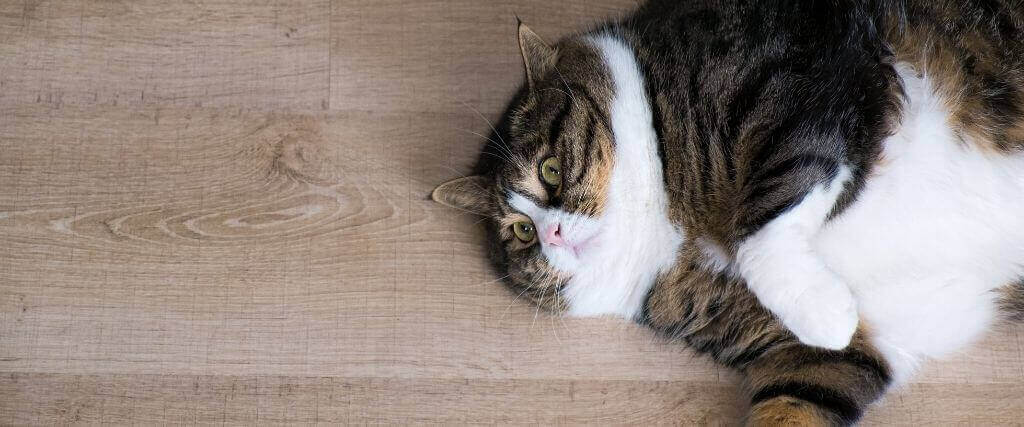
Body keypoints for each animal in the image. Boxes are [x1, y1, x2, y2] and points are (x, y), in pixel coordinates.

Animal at [430, 0, 1024, 421]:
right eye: (520, 232)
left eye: (550, 170)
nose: (551, 232)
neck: (666, 221)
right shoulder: (826, 356)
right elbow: (800, 396)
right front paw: (836, 316)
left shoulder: (804, 80)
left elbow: (763, 229)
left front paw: (825, 311)